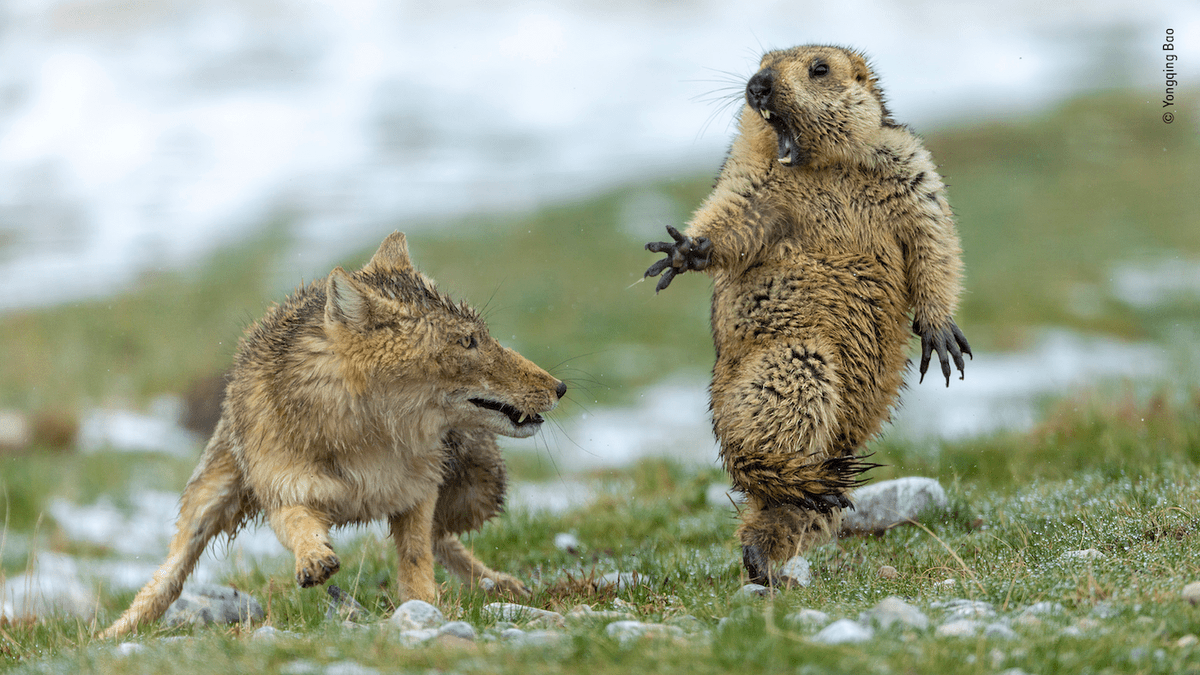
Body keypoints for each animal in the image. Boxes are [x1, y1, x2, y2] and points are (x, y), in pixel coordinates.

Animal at [101, 231, 566, 638]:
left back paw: (499, 583)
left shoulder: (416, 492)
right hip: (207, 502)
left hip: (479, 491)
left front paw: (425, 606)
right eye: (467, 342)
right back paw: (109, 634)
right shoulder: (285, 491)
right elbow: (299, 525)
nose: (560, 387)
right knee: (168, 578)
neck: (367, 441)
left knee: (443, 538)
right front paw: (313, 559)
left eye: (483, 336)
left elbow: (417, 556)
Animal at [644, 45, 970, 586]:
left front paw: (941, 332)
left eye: (820, 68)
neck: (821, 167)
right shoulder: (752, 177)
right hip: (795, 361)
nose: (757, 85)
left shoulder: (909, 164)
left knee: (791, 507)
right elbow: (736, 211)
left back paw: (767, 550)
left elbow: (933, 233)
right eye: (761, 60)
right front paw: (686, 249)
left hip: (837, 442)